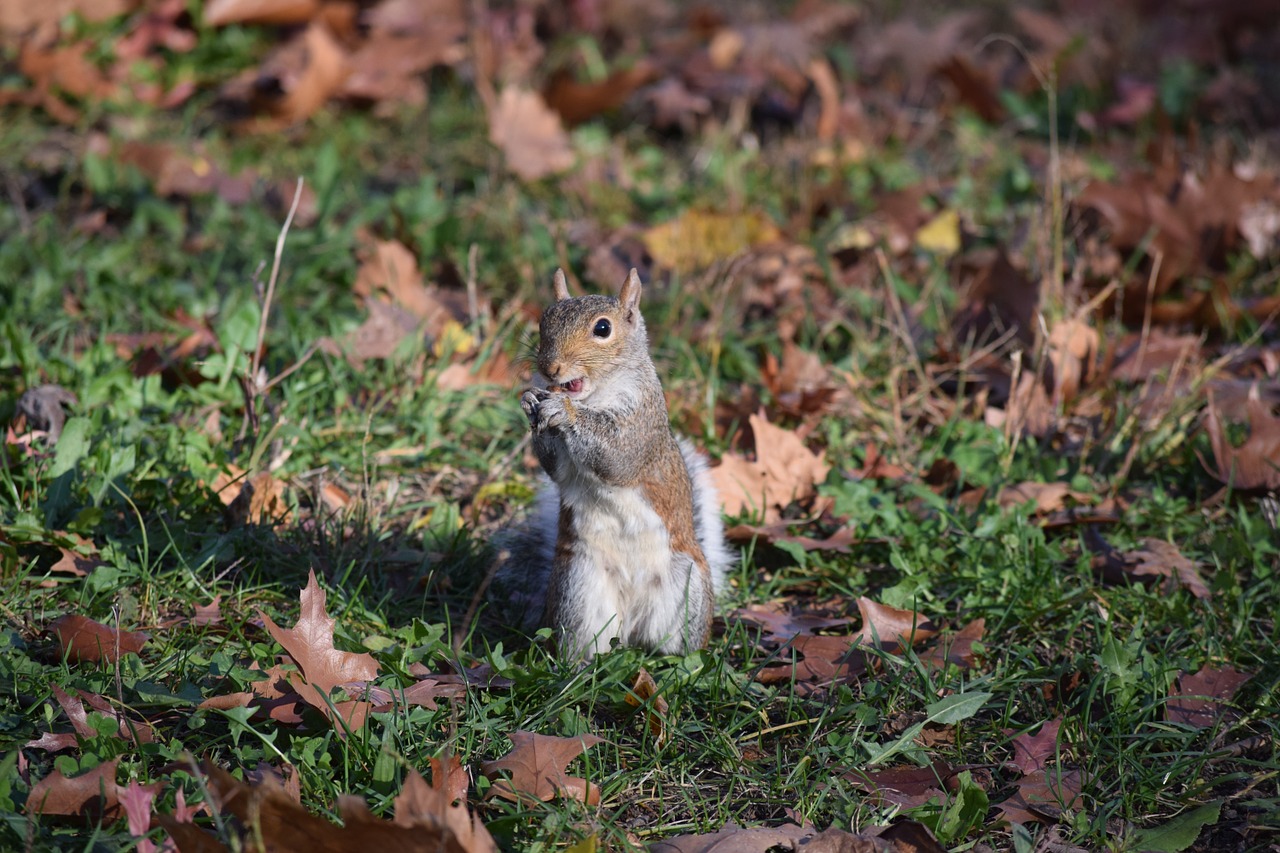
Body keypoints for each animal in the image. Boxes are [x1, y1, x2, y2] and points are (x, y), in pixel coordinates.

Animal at [504, 266, 737, 655]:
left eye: (603, 328)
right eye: (543, 320)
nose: (550, 369)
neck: (594, 396)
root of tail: (631, 628)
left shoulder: (642, 421)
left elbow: (618, 458)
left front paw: (562, 411)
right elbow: (559, 470)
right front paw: (530, 401)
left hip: (685, 591)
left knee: (679, 647)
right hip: (577, 590)